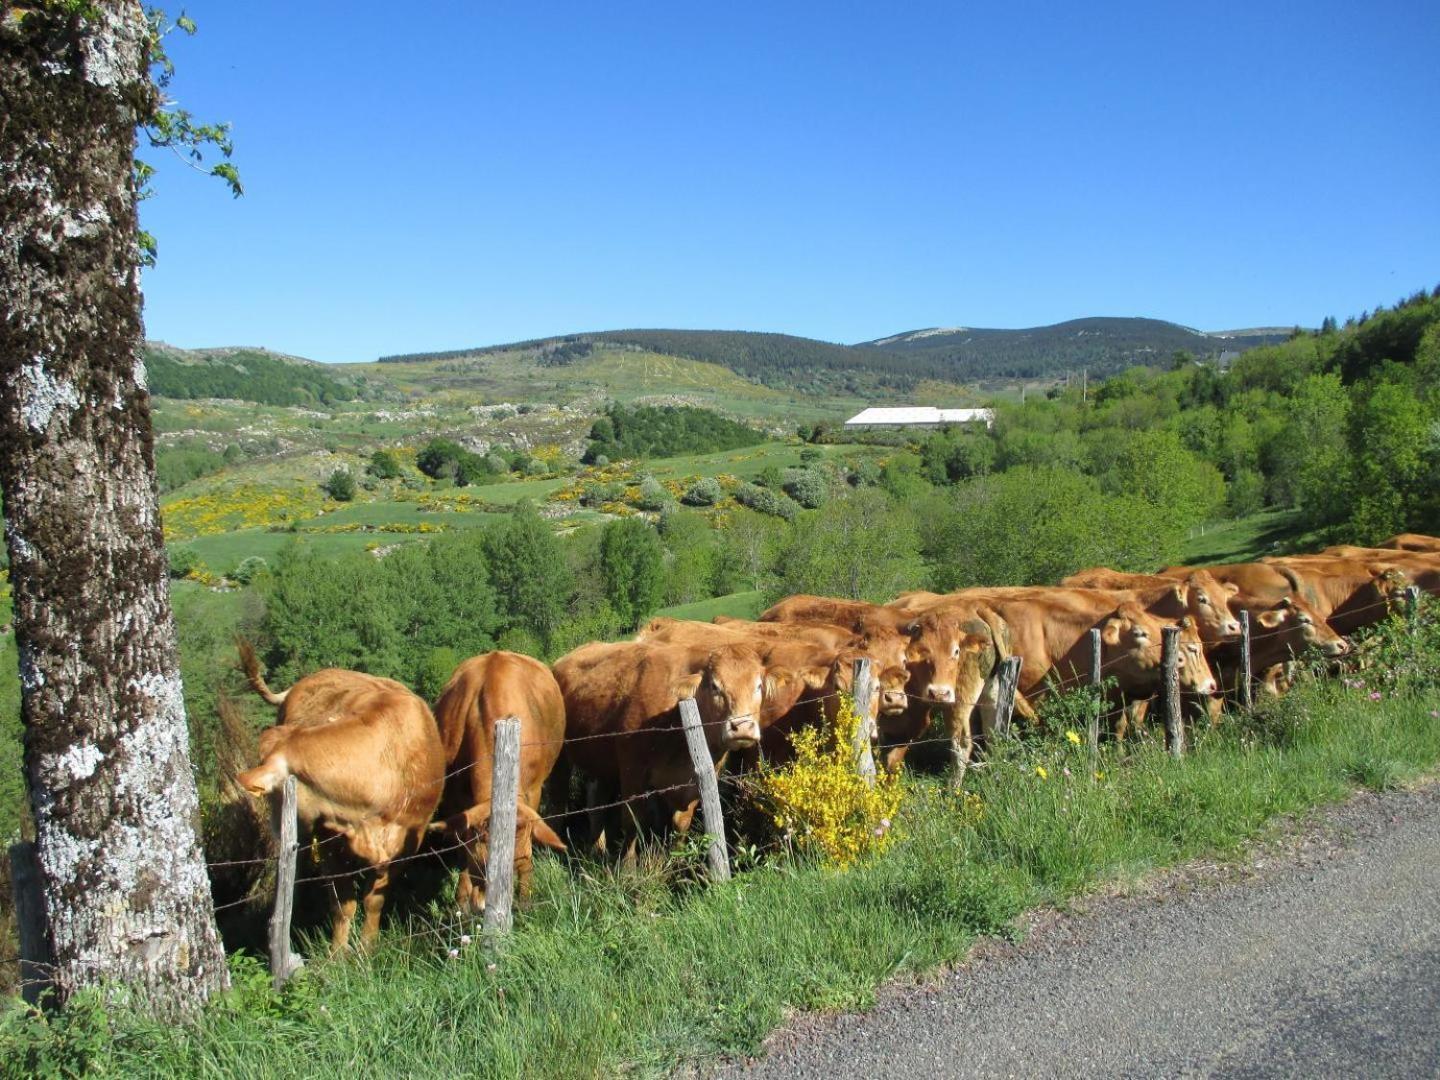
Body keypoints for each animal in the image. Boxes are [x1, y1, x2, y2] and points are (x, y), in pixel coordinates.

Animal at [234, 648, 443, 950]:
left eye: (272, 794)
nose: (273, 826)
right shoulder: (331, 839)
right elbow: (342, 903)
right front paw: (338, 953)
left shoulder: (410, 840)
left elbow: (374, 900)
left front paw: (367, 947)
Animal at [429, 656, 564, 915]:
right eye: (479, 865)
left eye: (514, 866)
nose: (482, 906)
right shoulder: (455, 799)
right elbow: (463, 845)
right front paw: (461, 902)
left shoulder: (532, 792)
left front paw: (525, 899)